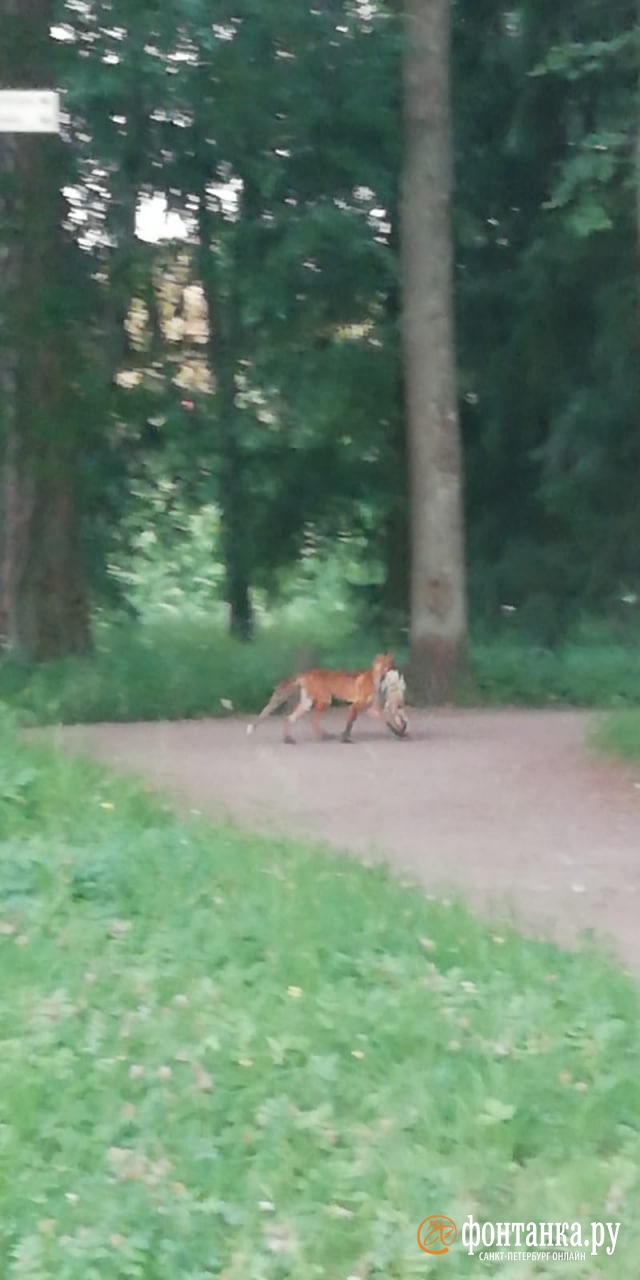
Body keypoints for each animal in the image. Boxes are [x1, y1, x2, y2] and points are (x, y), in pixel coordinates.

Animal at [247, 655, 396, 747]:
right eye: (388, 664)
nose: (395, 668)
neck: (374, 678)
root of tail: (305, 673)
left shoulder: (371, 709)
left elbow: (387, 720)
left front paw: (398, 732)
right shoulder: (355, 706)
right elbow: (349, 725)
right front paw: (345, 739)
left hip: (307, 704)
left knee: (290, 718)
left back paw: (288, 739)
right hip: (325, 701)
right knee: (312, 719)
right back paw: (323, 736)